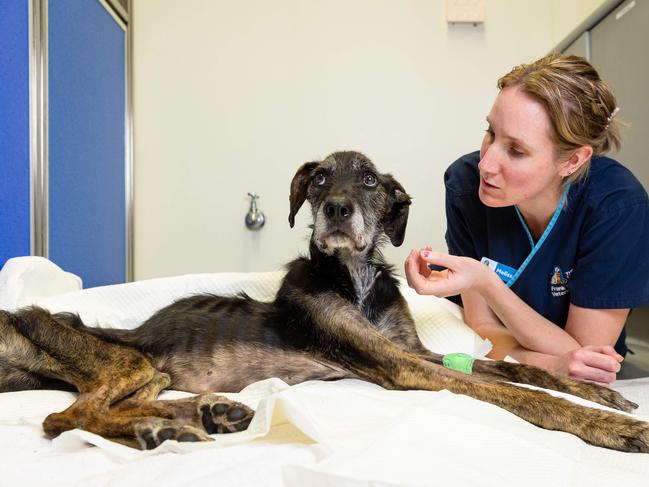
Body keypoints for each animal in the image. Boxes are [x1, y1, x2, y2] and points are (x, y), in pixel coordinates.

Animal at [0, 152, 644, 454]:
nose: (336, 208)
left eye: (370, 181)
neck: (353, 278)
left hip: (150, 372)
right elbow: (512, 392)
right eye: (318, 180)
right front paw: (605, 425)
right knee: (66, 419)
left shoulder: (415, 354)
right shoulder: (402, 367)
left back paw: (204, 415)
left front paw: (599, 393)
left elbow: (518, 369)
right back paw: (160, 430)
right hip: (125, 359)